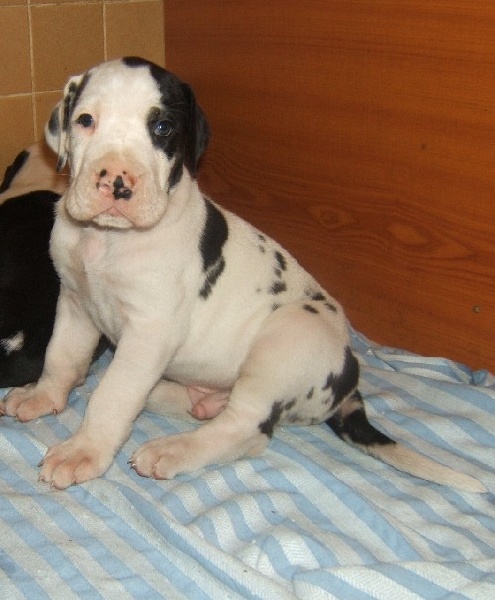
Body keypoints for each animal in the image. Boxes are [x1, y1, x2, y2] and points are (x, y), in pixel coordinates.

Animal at [1, 57, 485, 493]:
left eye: (163, 128)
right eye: (85, 120)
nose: (116, 182)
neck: (105, 240)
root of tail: (348, 376)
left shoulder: (149, 331)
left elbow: (114, 395)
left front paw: (82, 451)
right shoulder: (74, 301)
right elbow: (62, 357)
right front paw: (43, 396)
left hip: (286, 340)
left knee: (247, 429)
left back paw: (172, 449)